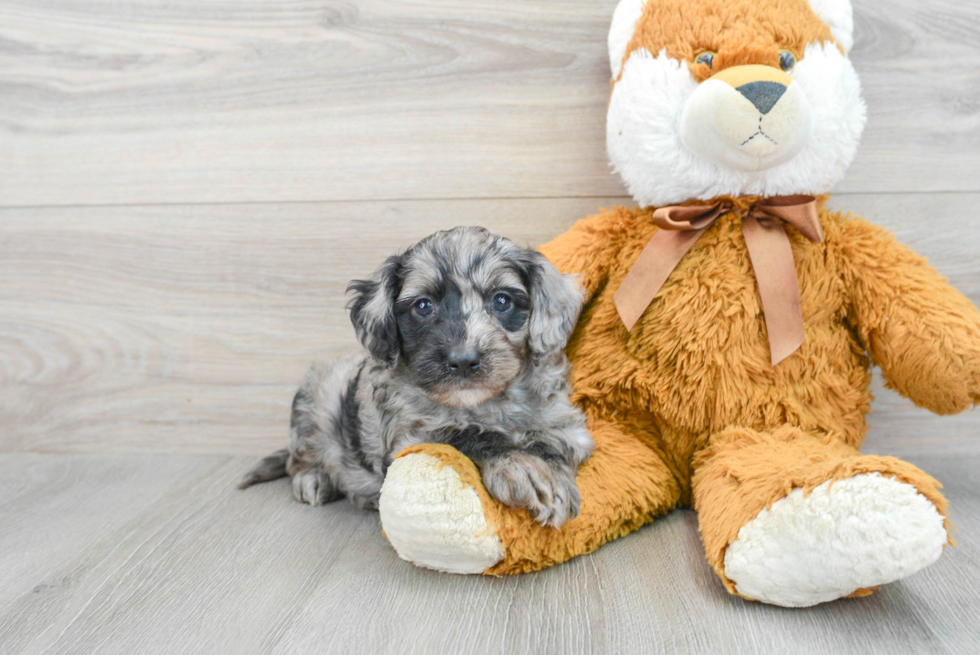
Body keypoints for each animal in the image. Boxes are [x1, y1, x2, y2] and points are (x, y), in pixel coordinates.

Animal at [243, 226, 596, 528]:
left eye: (502, 301)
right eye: (424, 306)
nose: (463, 361)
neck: (483, 405)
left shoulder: (567, 427)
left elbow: (550, 442)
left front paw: (547, 472)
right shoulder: (408, 440)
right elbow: (465, 435)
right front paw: (524, 467)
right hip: (313, 401)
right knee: (298, 458)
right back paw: (313, 478)